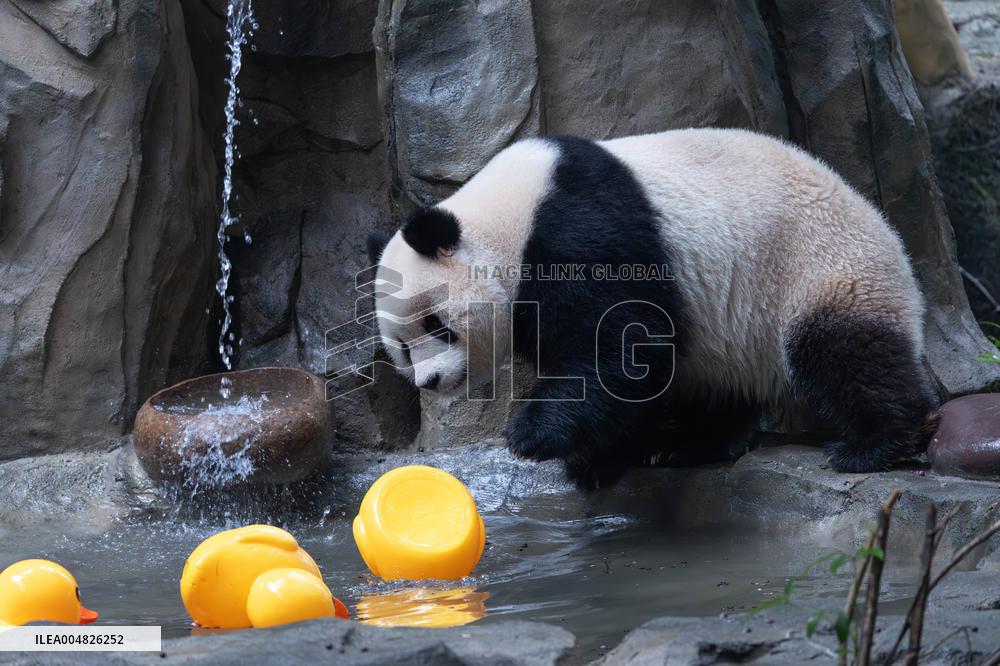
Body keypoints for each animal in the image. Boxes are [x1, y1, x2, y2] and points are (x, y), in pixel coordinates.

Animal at [366, 129, 940, 489]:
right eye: (402, 347)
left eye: (436, 324)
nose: (429, 381)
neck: (506, 222)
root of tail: (896, 244)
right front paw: (598, 459)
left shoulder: (579, 229)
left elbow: (619, 342)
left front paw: (533, 436)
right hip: (733, 335)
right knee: (721, 383)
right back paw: (689, 443)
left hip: (820, 269)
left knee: (843, 353)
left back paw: (875, 443)